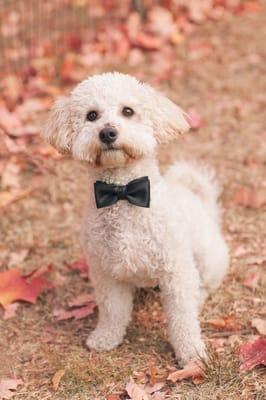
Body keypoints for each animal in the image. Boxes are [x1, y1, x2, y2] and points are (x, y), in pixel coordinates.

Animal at [42, 71, 229, 366]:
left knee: (205, 285)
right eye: (91, 115)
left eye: (128, 111)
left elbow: (183, 318)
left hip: (207, 258)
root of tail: (204, 206)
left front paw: (190, 353)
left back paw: (198, 295)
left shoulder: (176, 270)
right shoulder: (106, 273)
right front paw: (106, 338)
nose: (108, 132)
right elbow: (112, 311)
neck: (122, 194)